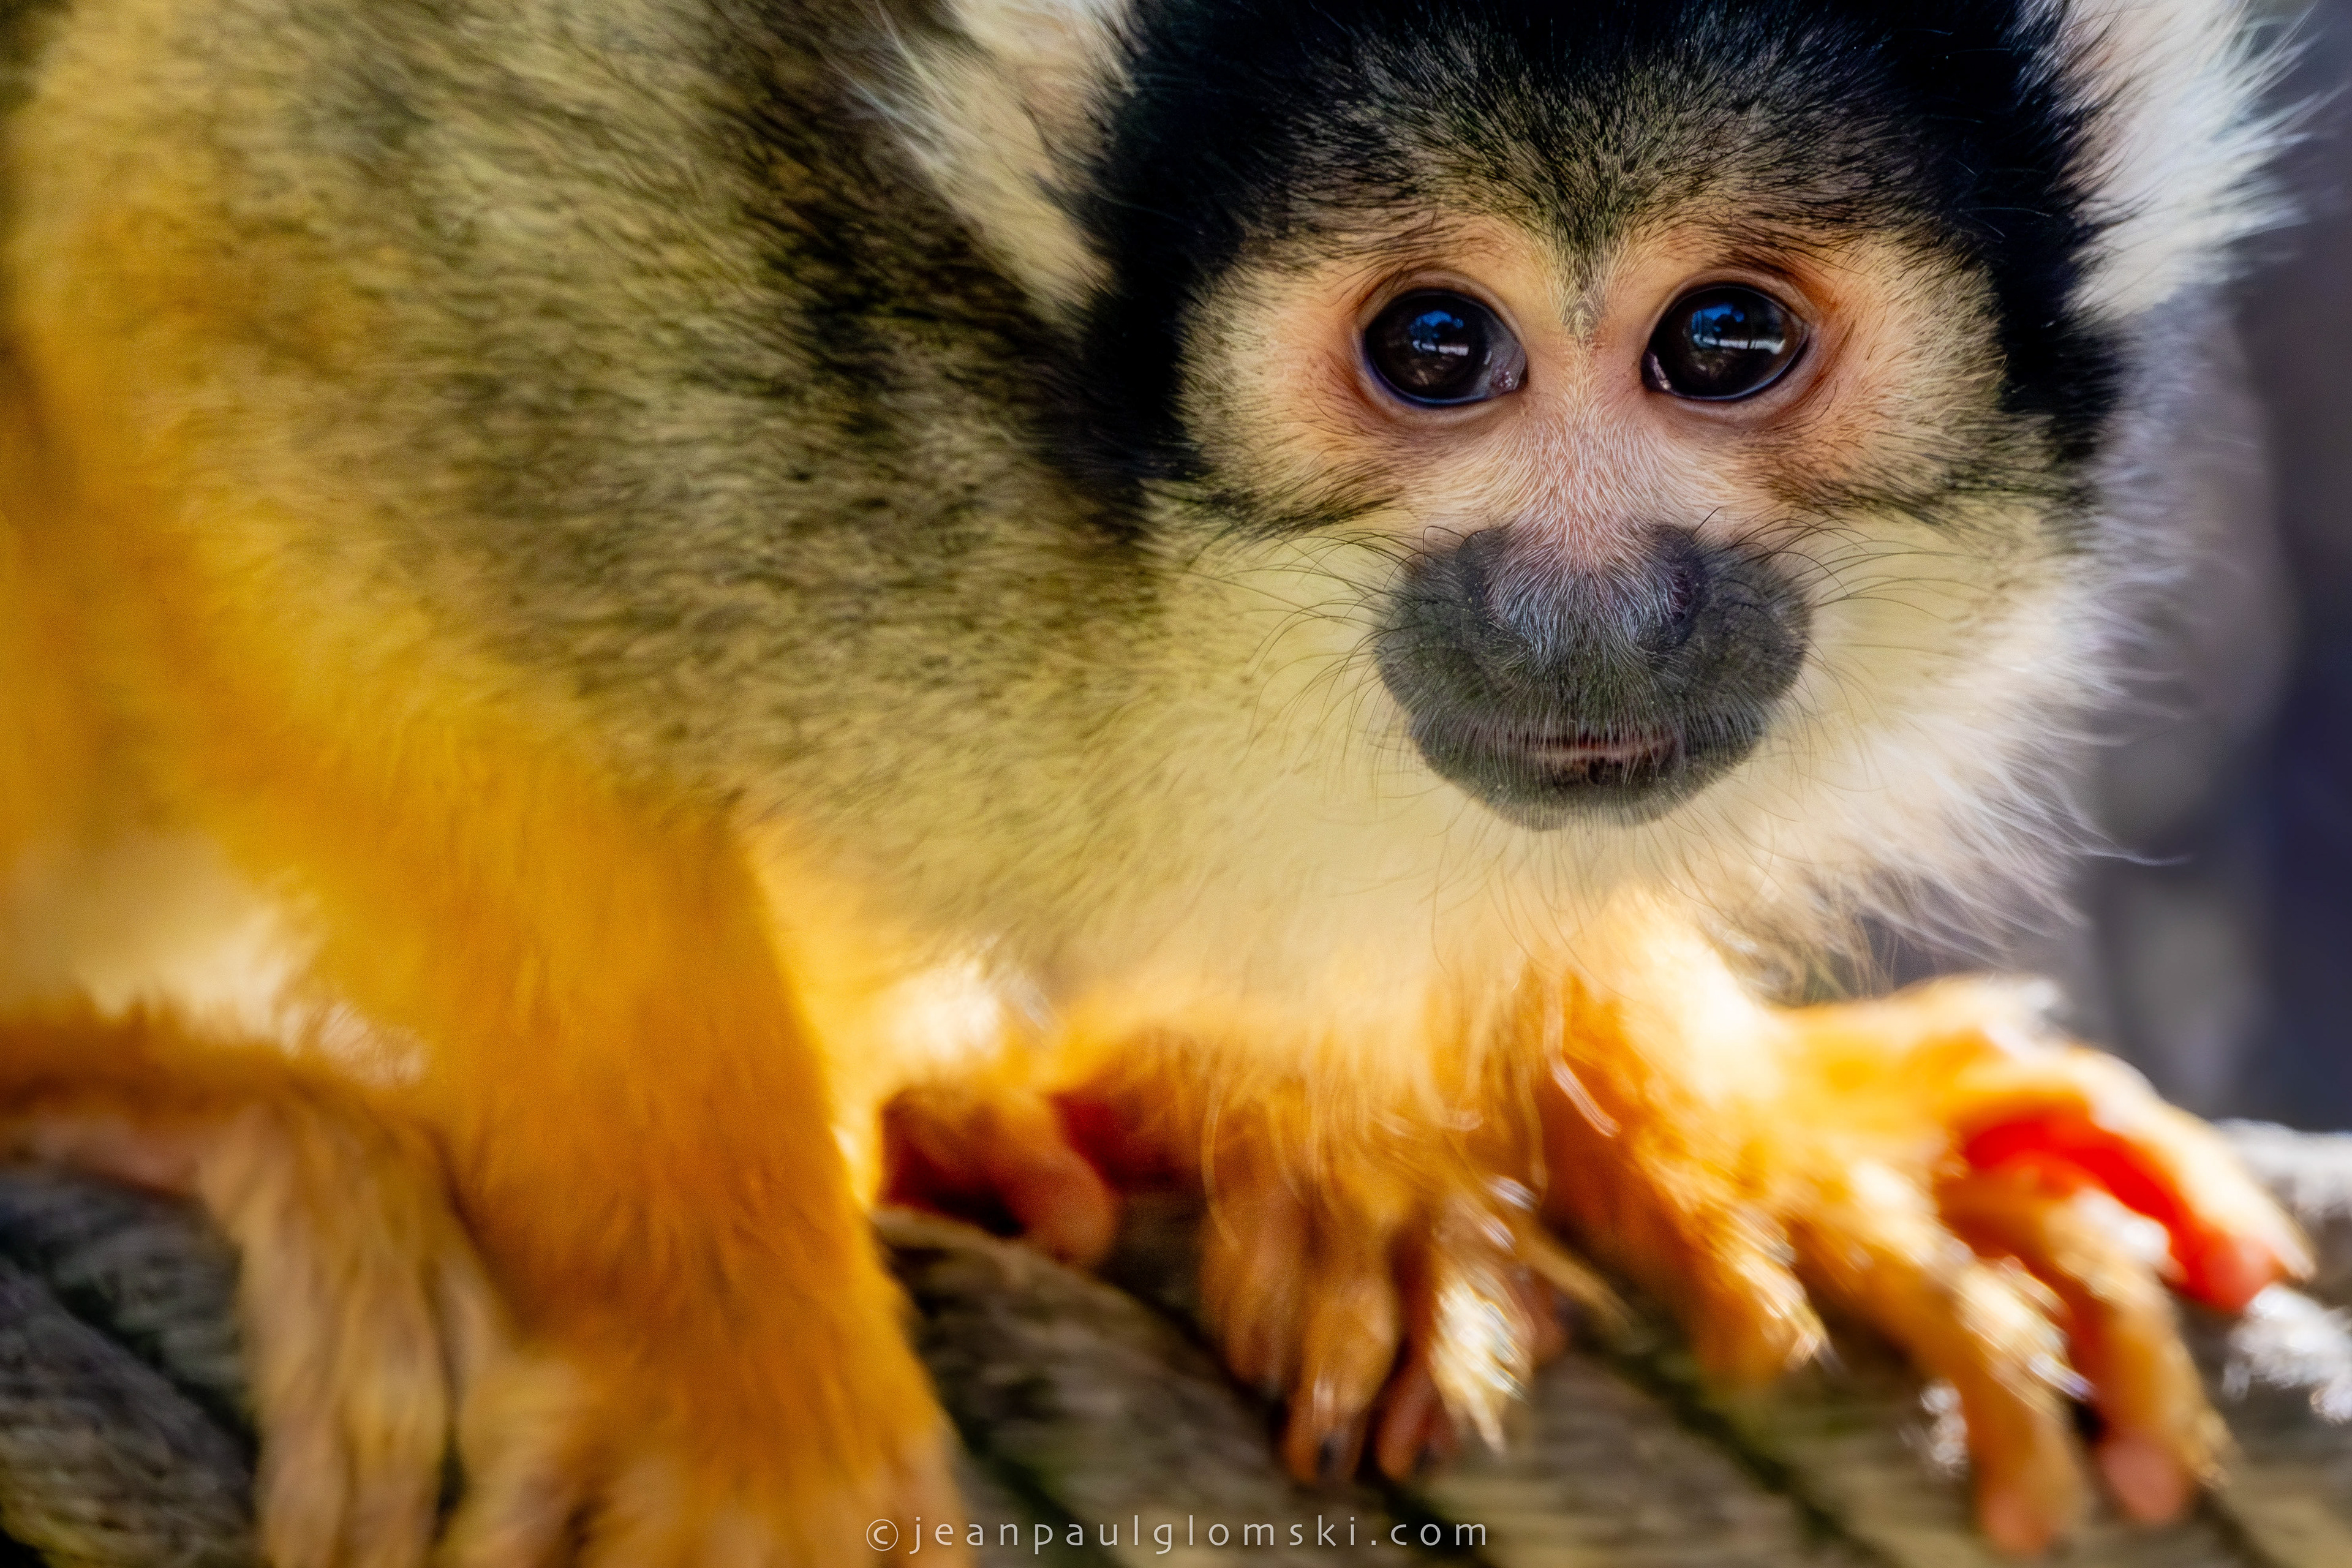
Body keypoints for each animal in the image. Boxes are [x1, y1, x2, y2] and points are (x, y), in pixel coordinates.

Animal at [0, 0, 2316, 1561]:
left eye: (1725, 341)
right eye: (1433, 348)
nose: (1579, 615)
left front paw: (1721, 1119)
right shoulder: (663, 166)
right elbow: (196, 287)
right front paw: (727, 1370)